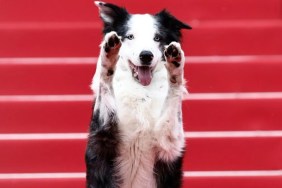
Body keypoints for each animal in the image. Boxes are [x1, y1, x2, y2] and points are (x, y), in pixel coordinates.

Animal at [85, 1, 192, 188]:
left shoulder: (170, 144)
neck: (141, 93)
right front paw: (109, 54)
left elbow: (174, 93)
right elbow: (105, 81)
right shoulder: (103, 133)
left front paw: (175, 65)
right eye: (130, 37)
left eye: (157, 38)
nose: (146, 55)